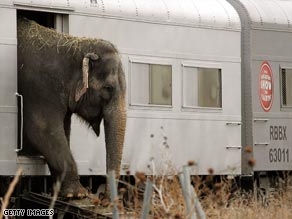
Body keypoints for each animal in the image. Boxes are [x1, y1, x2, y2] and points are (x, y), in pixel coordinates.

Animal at [17, 18, 126, 198]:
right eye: (108, 88)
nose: (102, 197)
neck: (74, 45)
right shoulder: (40, 88)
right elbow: (42, 131)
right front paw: (78, 194)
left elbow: (64, 130)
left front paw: (64, 192)